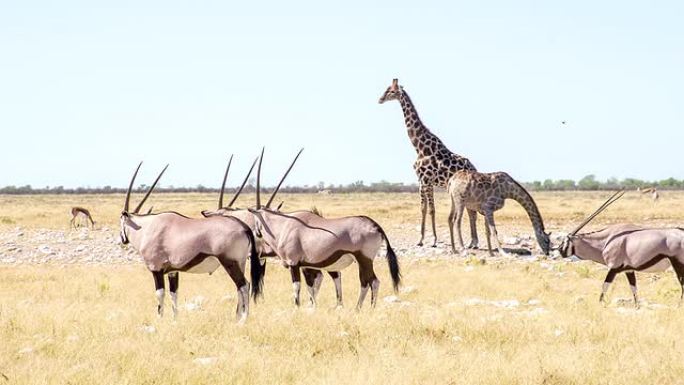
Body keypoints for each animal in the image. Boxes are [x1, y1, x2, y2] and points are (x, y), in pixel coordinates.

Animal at [120, 162, 262, 320]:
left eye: (121, 220)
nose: (122, 239)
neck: (146, 227)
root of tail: (244, 227)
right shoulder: (173, 271)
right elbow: (174, 294)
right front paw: (175, 320)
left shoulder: (156, 269)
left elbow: (160, 294)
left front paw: (160, 319)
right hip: (240, 263)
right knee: (240, 287)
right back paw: (237, 317)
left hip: (229, 262)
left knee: (244, 285)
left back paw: (243, 319)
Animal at [250, 148, 400, 308]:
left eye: (255, 220)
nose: (255, 233)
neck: (282, 226)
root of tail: (375, 225)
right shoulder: (307, 265)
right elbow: (310, 288)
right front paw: (312, 307)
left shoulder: (294, 263)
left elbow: (297, 287)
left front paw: (298, 307)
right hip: (363, 261)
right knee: (368, 282)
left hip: (364, 259)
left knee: (371, 281)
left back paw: (363, 308)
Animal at [376, 78, 478, 246]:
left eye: (390, 91)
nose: (380, 99)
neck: (419, 147)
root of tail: (474, 168)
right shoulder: (420, 181)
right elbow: (423, 209)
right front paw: (420, 240)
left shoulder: (427, 181)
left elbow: (431, 209)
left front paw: (434, 240)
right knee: (472, 211)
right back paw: (473, 242)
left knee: (472, 211)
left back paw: (473, 242)